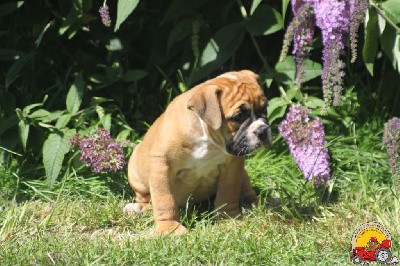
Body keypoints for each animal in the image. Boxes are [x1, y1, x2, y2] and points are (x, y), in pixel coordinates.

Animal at [124, 69, 272, 234]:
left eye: (264, 109)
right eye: (238, 116)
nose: (263, 130)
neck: (207, 138)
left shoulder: (232, 167)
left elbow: (228, 194)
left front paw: (229, 219)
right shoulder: (162, 167)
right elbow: (164, 200)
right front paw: (170, 228)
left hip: (243, 174)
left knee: (247, 191)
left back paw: (255, 205)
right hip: (136, 175)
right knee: (146, 199)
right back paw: (138, 209)